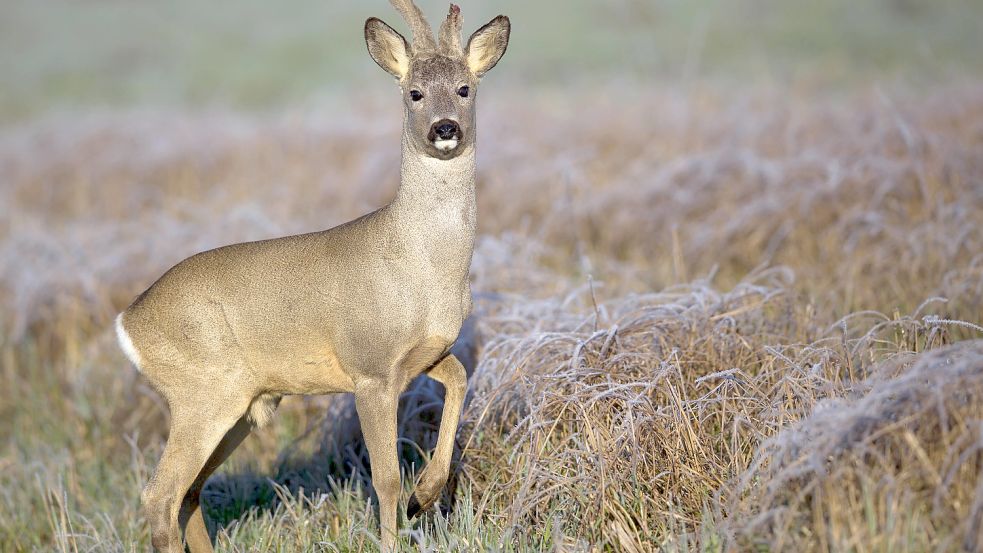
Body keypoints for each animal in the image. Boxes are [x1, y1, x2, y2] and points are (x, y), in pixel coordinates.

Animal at [115, 2, 512, 548]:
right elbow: (384, 477)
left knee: (189, 493)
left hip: (244, 404)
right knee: (160, 494)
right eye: (414, 92)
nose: (445, 128)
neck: (423, 264)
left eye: (464, 88)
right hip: (203, 391)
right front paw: (393, 537)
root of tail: (127, 323)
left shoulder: (423, 354)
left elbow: (459, 378)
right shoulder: (369, 366)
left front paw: (425, 497)